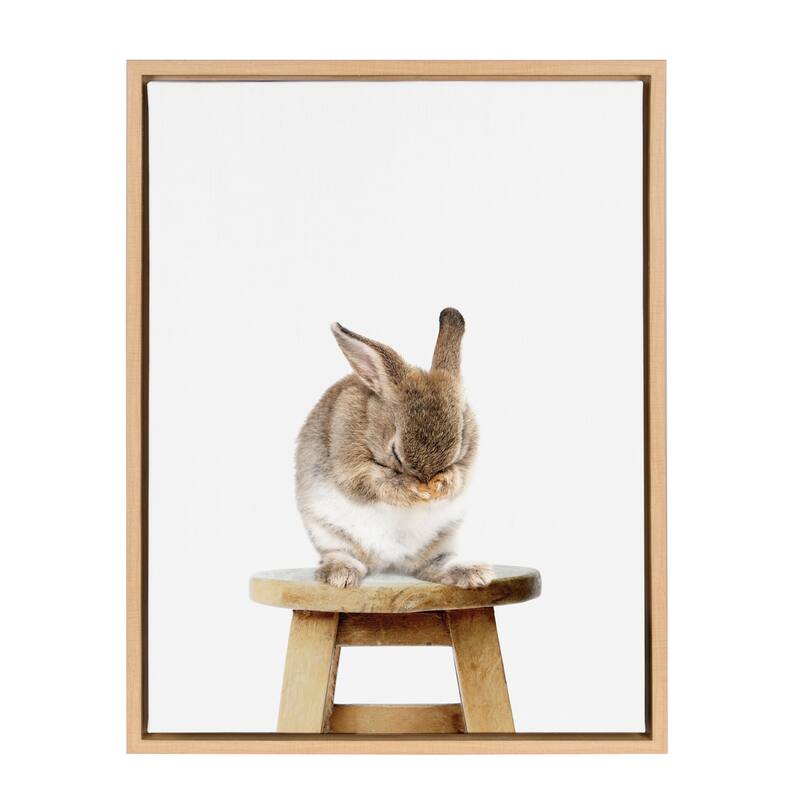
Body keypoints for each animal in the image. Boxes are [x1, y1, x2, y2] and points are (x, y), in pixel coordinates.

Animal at [295, 307, 494, 589]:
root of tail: (390, 563)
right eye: (395, 452)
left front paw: (442, 484)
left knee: (434, 565)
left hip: (441, 541)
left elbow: (460, 476)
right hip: (329, 533)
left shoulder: (468, 462)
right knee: (342, 554)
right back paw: (340, 575)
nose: (426, 483)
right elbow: (375, 482)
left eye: (457, 449)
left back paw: (473, 573)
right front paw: (412, 490)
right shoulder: (349, 463)